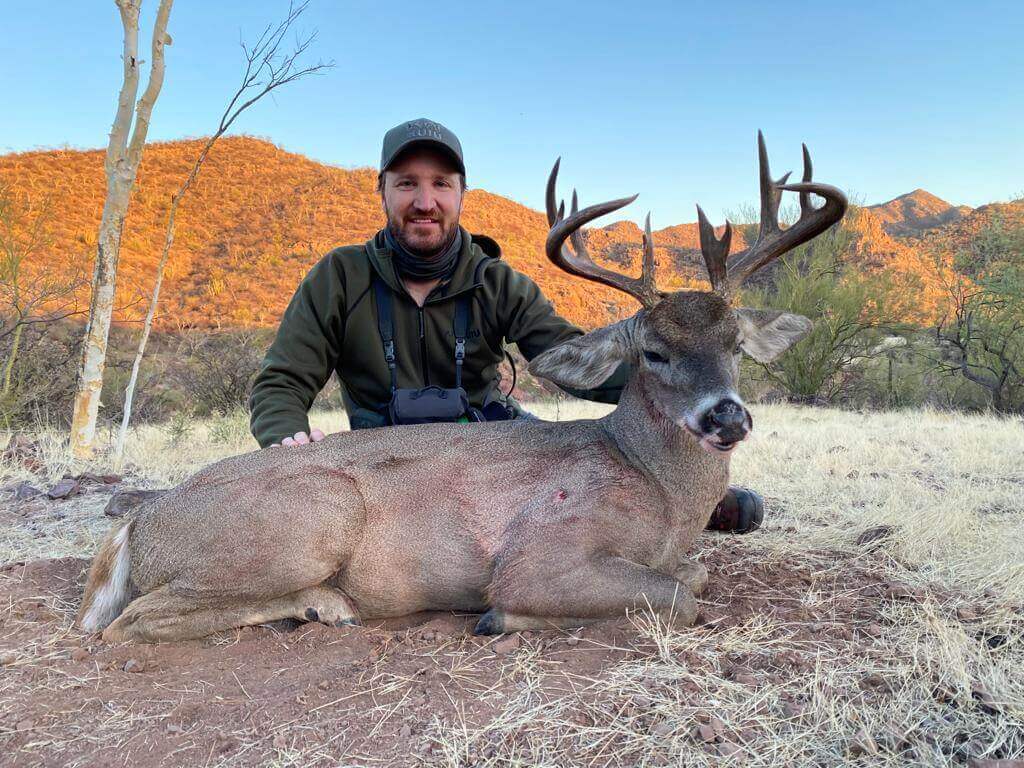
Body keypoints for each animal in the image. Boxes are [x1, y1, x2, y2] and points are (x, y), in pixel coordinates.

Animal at [77, 132, 846, 643]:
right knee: (126, 623)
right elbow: (681, 594)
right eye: (653, 352)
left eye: (736, 346)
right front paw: (499, 617)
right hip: (310, 521)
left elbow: (697, 575)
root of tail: (138, 523)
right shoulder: (541, 553)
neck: (656, 489)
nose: (727, 418)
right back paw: (322, 605)